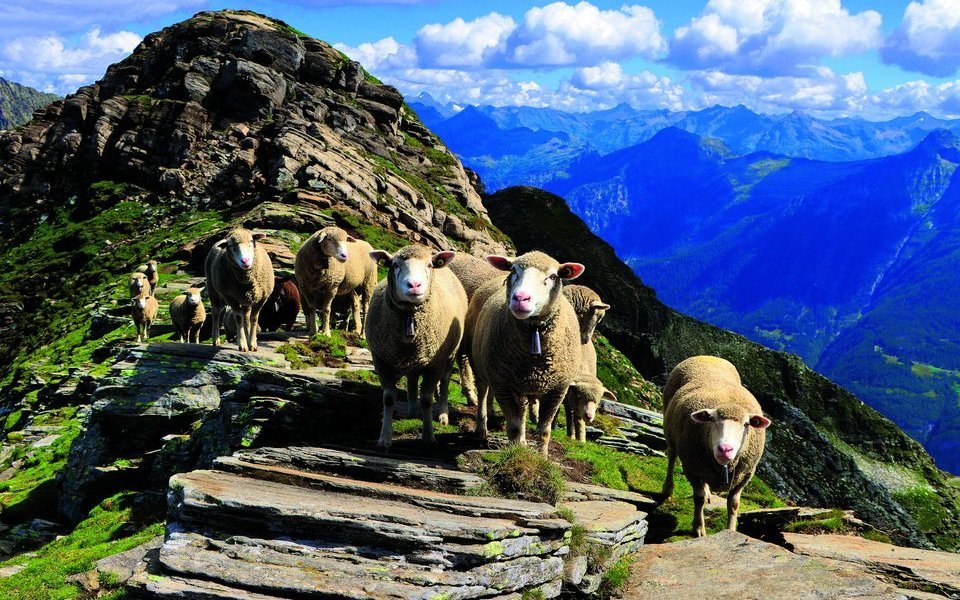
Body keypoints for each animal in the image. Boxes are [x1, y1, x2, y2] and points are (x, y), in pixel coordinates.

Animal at [365, 245, 467, 450]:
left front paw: (428, 436)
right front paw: (385, 438)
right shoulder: (381, 361)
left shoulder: (435, 364)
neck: (410, 318)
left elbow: (427, 399)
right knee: (412, 377)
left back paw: (442, 413)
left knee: (445, 381)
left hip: (449, 354)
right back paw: (412, 408)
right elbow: (388, 398)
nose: (414, 285)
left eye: (429, 265)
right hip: (414, 357)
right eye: (395, 265)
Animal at [471, 251, 585, 457]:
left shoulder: (557, 390)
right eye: (513, 270)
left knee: (522, 410)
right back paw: (481, 428)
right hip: (481, 366)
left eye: (553, 276)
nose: (520, 298)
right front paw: (516, 454)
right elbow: (515, 426)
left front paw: (542, 456)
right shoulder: (503, 384)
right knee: (483, 393)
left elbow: (544, 430)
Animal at [660, 355, 772, 537]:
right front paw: (699, 529)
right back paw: (667, 489)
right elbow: (697, 498)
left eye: (746, 424)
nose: (725, 449)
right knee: (671, 458)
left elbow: (734, 504)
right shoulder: (692, 468)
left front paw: (730, 530)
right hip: (670, 431)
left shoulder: (745, 475)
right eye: (711, 419)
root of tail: (708, 356)